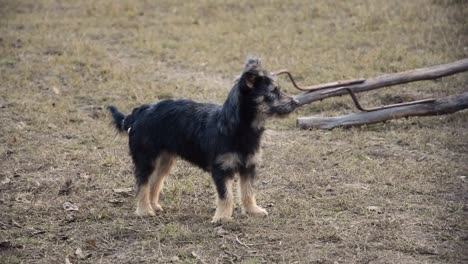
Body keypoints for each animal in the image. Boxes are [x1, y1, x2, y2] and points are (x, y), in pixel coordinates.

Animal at [108, 57, 298, 223]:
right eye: (273, 92)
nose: (296, 102)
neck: (239, 128)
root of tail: (137, 113)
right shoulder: (221, 169)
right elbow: (226, 195)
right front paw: (222, 218)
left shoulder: (248, 167)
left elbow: (248, 191)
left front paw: (253, 210)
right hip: (146, 159)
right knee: (142, 184)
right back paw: (144, 210)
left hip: (164, 160)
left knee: (155, 182)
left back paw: (153, 206)